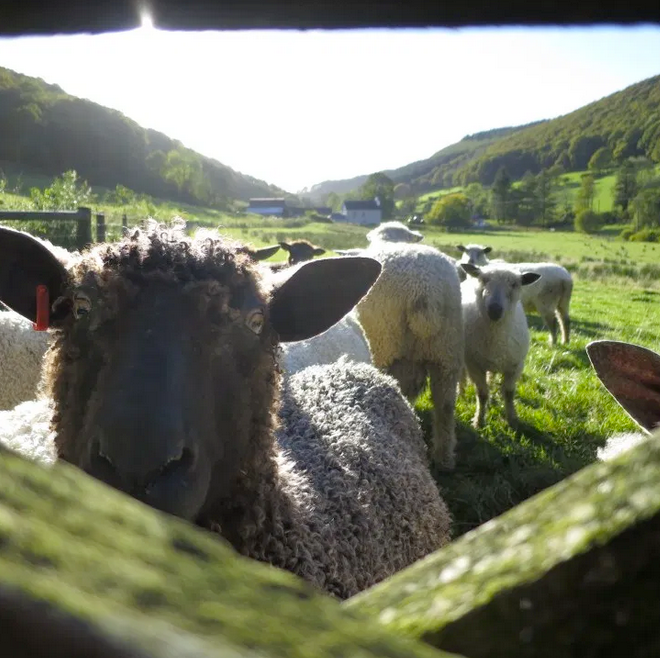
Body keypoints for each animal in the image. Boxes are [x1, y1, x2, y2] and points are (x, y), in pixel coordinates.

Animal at [460, 263, 541, 429]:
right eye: (484, 280)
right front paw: (479, 420)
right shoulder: (474, 366)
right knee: (461, 376)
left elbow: (509, 394)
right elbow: (482, 394)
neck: (495, 332)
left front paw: (512, 420)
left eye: (514, 284)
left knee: (491, 377)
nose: (495, 310)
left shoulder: (515, 366)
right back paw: (461, 394)